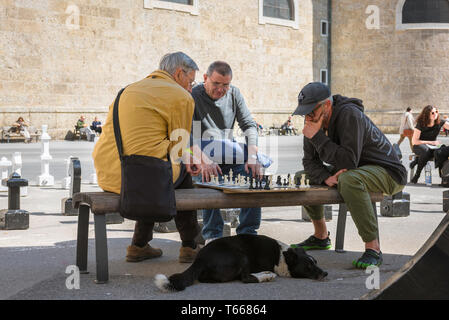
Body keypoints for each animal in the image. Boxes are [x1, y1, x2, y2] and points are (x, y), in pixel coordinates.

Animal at [154, 234, 326, 292]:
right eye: (308, 266)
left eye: (316, 261)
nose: (325, 273)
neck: (282, 256)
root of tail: (200, 259)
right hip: (241, 255)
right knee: (246, 278)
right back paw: (266, 276)